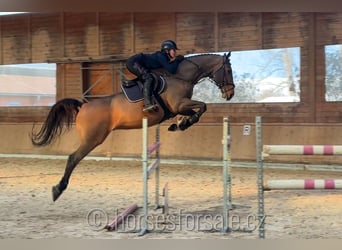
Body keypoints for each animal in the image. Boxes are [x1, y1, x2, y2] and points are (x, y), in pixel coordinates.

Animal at [30, 52, 235, 201]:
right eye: (228, 70)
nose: (230, 94)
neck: (181, 76)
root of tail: (83, 105)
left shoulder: (180, 107)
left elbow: (196, 110)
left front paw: (180, 124)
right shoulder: (179, 104)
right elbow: (202, 106)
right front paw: (184, 123)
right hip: (92, 139)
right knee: (73, 158)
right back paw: (58, 189)